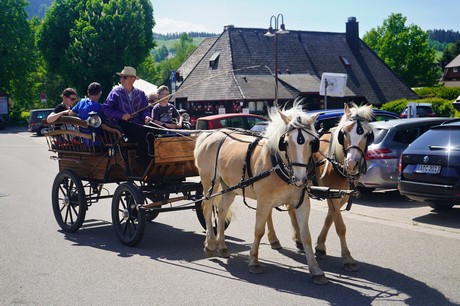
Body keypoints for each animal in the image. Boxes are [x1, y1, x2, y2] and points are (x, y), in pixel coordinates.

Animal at [194, 106, 330, 286]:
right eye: (286, 143)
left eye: (311, 143)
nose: (300, 179)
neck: (279, 166)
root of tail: (210, 135)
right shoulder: (264, 202)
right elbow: (258, 231)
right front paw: (254, 262)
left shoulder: (302, 203)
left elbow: (306, 236)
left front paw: (315, 270)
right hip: (210, 182)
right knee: (208, 208)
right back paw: (210, 244)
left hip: (229, 188)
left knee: (222, 211)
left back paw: (222, 246)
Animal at [268, 103, 376, 272]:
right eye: (344, 133)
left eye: (367, 134)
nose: (352, 164)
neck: (336, 161)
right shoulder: (332, 196)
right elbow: (340, 226)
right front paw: (347, 258)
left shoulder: (339, 195)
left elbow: (330, 219)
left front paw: (320, 246)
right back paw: (274, 239)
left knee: (291, 210)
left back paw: (298, 238)